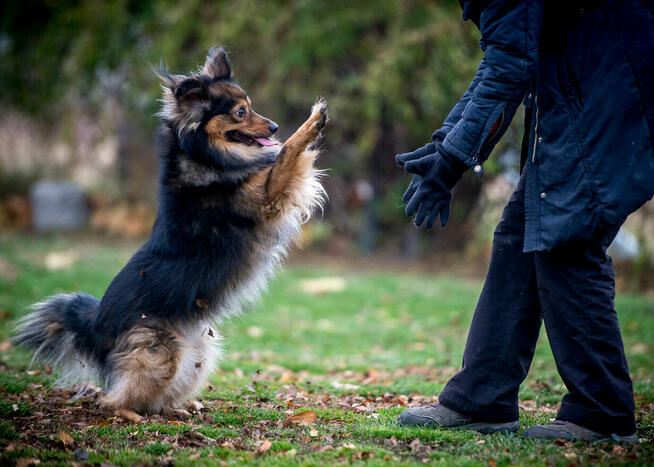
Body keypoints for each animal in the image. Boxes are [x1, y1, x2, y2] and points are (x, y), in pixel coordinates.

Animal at [16, 47, 328, 418]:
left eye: (251, 106)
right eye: (240, 112)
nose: (275, 126)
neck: (202, 154)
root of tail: (94, 326)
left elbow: (285, 155)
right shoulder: (266, 197)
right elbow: (287, 153)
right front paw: (312, 122)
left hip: (199, 350)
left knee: (157, 397)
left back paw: (175, 412)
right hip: (158, 353)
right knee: (110, 400)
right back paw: (132, 415)